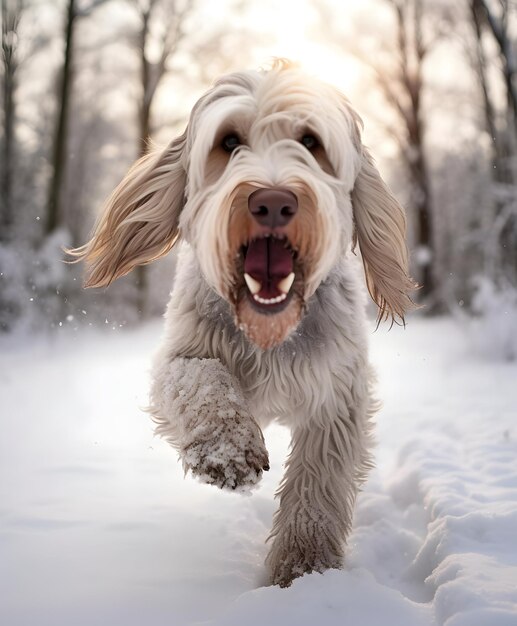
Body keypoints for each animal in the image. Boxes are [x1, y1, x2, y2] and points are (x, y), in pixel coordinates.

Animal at [69, 58, 416, 584]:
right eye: (230, 141)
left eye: (310, 141)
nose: (271, 201)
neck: (268, 329)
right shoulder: (183, 351)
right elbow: (201, 379)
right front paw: (228, 453)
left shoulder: (337, 393)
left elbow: (318, 484)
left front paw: (303, 569)